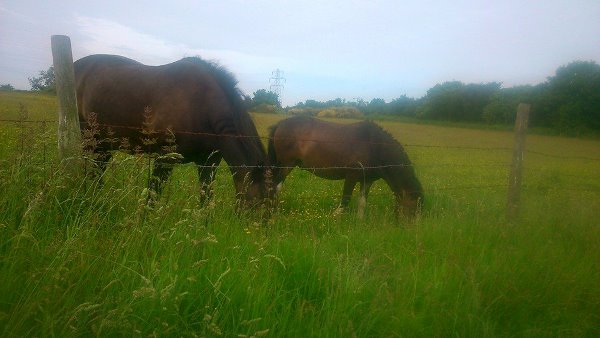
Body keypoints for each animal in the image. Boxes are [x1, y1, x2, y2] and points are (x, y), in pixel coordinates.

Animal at [74, 54, 270, 205]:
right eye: (260, 201)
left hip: (104, 143)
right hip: (88, 138)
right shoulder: (164, 158)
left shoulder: (208, 163)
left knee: (97, 170)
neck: (201, 105)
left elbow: (206, 200)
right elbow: (152, 196)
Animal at [268, 115, 422, 217]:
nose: (411, 228)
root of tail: (280, 124)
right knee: (275, 186)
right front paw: (334, 218)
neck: (374, 145)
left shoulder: (367, 180)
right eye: (414, 208)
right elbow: (345, 200)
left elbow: (362, 202)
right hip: (286, 165)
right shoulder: (351, 176)